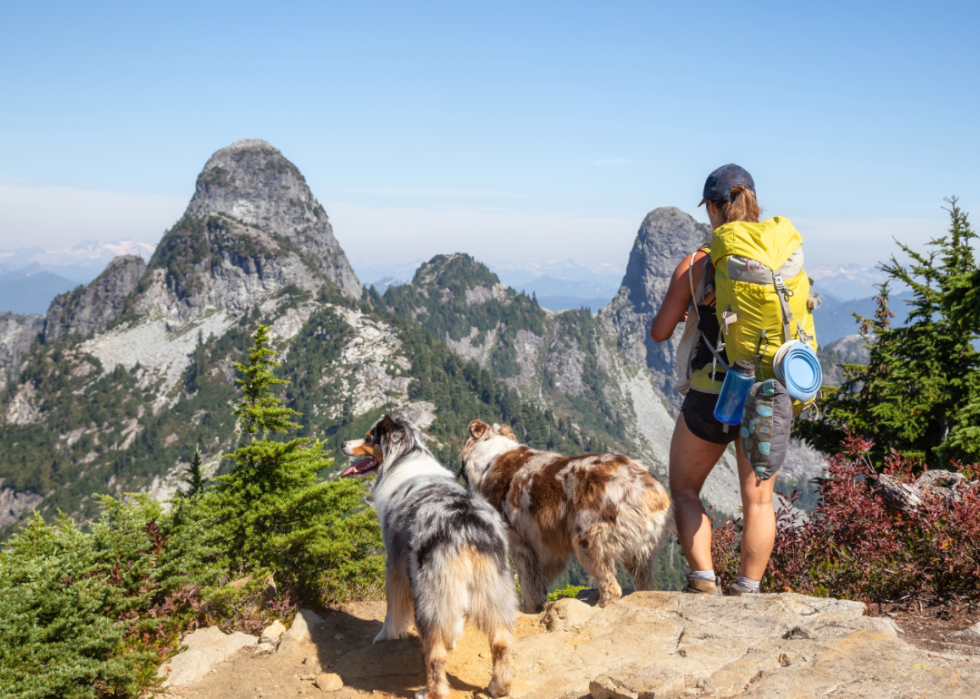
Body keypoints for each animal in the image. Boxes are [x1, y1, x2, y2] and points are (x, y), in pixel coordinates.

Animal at [464, 422, 668, 612]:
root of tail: (648, 487)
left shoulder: (520, 541)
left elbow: (529, 582)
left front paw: (528, 609)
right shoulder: (547, 544)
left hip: (588, 536)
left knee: (611, 585)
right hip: (640, 549)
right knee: (644, 584)